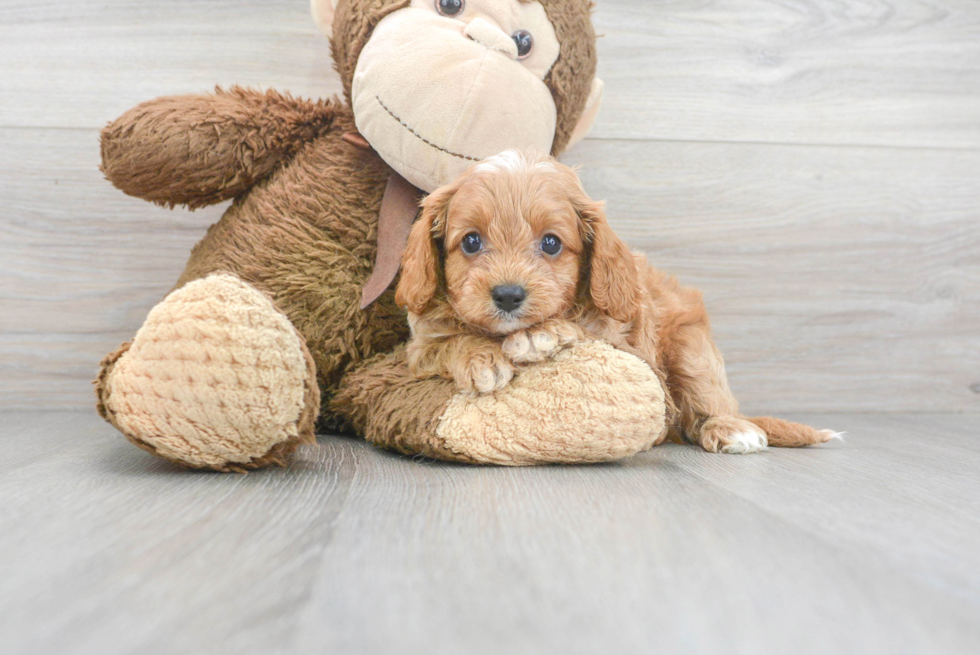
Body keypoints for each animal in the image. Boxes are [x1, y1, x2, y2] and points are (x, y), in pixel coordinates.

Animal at [394, 151, 840, 454]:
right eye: (471, 241)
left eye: (551, 243)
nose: (507, 295)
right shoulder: (420, 346)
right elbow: (448, 342)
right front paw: (480, 357)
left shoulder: (629, 349)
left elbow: (581, 327)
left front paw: (540, 334)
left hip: (691, 349)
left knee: (708, 401)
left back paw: (732, 428)